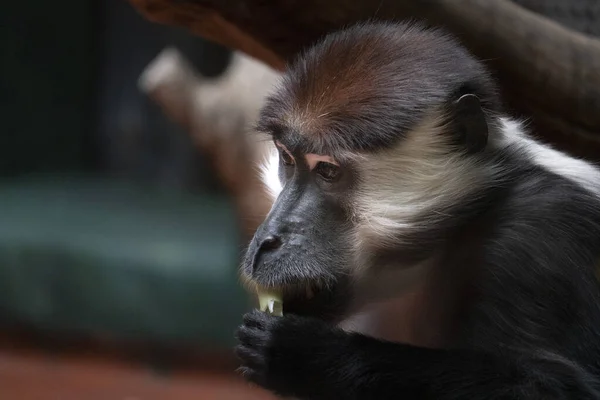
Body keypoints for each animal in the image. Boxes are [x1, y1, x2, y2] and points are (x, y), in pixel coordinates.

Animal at [236, 21, 600, 400]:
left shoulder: (539, 234)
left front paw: (306, 355)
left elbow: (547, 385)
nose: (267, 241)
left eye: (328, 171)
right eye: (287, 159)